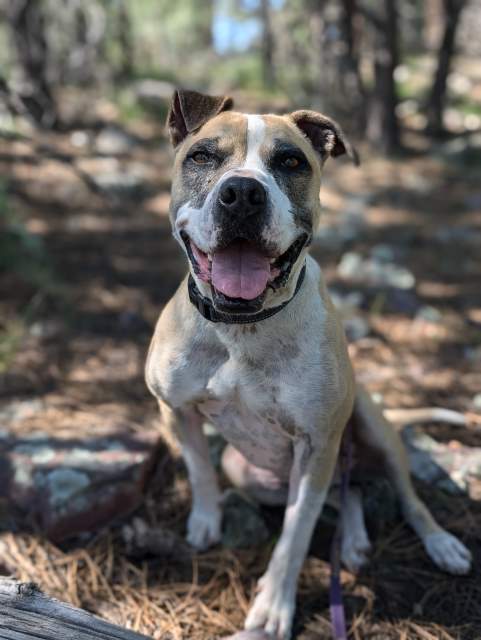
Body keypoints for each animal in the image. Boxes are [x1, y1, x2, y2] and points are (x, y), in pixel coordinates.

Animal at [144, 91, 470, 640]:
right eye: (202, 156)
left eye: (291, 162)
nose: (242, 194)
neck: (243, 328)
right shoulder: (176, 409)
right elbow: (199, 469)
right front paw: (205, 521)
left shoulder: (316, 444)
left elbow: (296, 534)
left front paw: (274, 605)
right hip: (253, 470)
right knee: (348, 491)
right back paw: (354, 540)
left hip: (370, 430)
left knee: (405, 497)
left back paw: (439, 542)